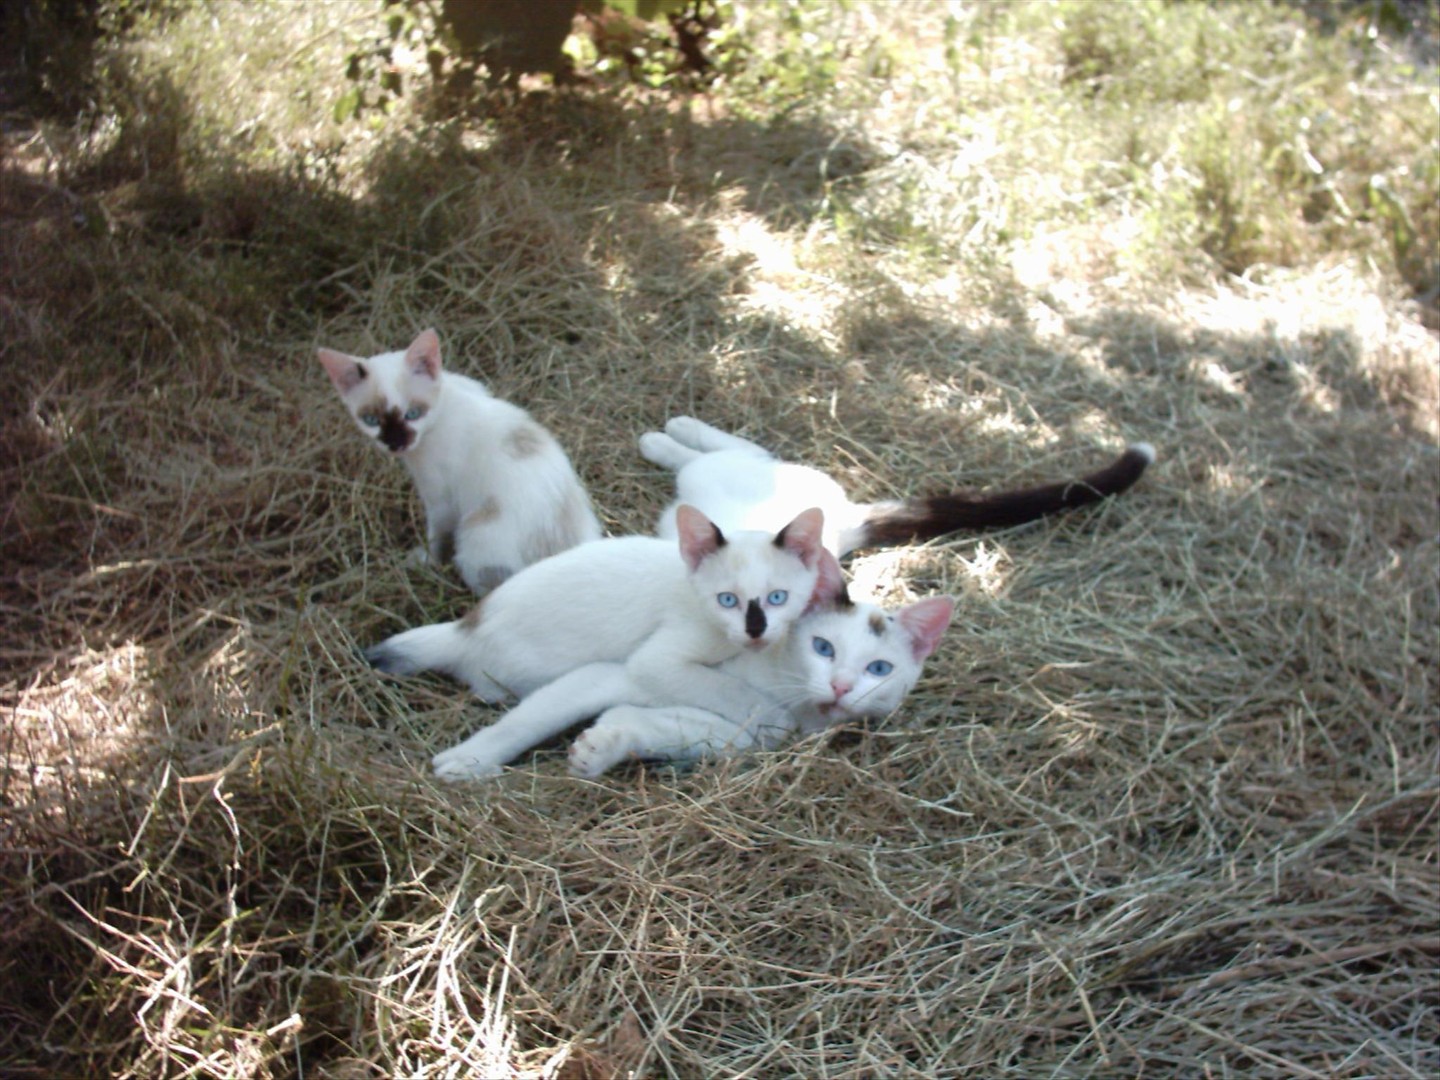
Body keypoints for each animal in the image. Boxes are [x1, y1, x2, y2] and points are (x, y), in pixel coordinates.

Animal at [318, 329, 599, 601]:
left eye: (413, 414)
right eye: (371, 420)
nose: (396, 444)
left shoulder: (439, 498)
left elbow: (436, 534)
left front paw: (426, 560)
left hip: (474, 538)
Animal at [362, 506, 835, 737]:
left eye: (778, 598)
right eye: (727, 600)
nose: (756, 630)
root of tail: (466, 626)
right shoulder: (657, 659)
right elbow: (724, 688)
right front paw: (775, 718)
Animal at [420, 561, 950, 783]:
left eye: (879, 668)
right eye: (823, 647)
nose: (841, 686)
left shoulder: (741, 735)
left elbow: (668, 726)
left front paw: (605, 743)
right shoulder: (619, 670)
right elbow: (528, 720)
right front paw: (469, 760)